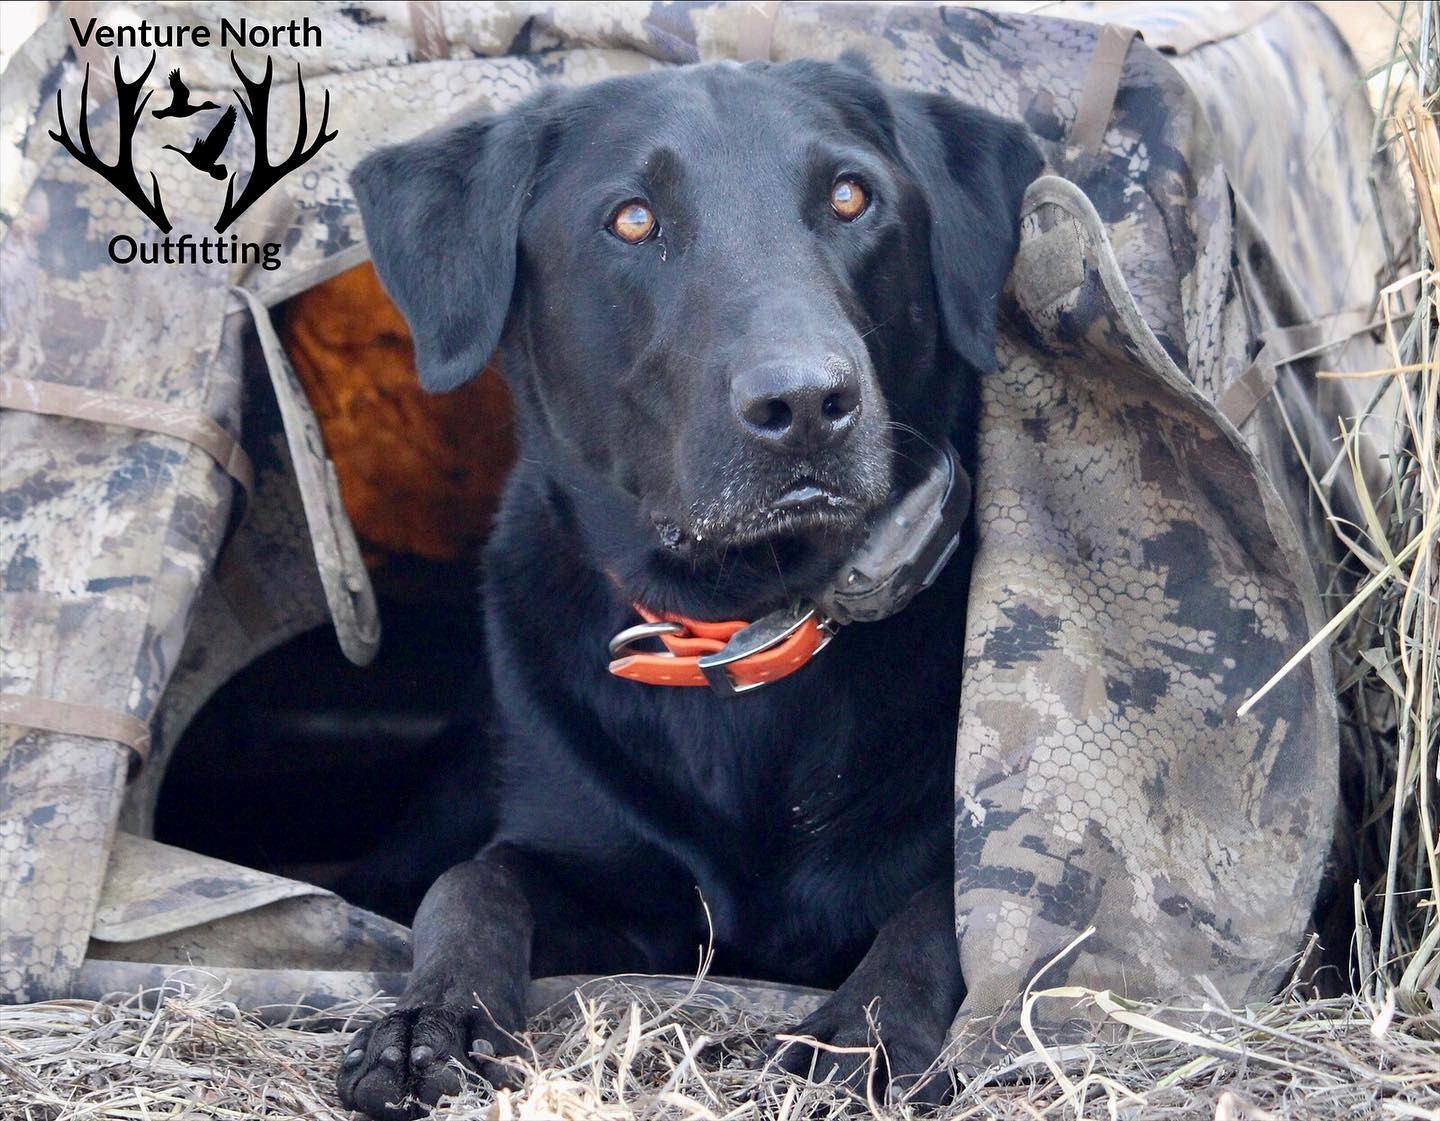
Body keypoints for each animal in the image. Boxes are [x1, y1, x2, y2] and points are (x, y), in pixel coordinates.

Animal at [338, 57, 1041, 1119]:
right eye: (634, 219)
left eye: (851, 197)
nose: (806, 404)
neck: (744, 617)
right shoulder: (625, 896)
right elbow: (472, 881)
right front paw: (430, 1018)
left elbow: (946, 911)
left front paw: (859, 1034)